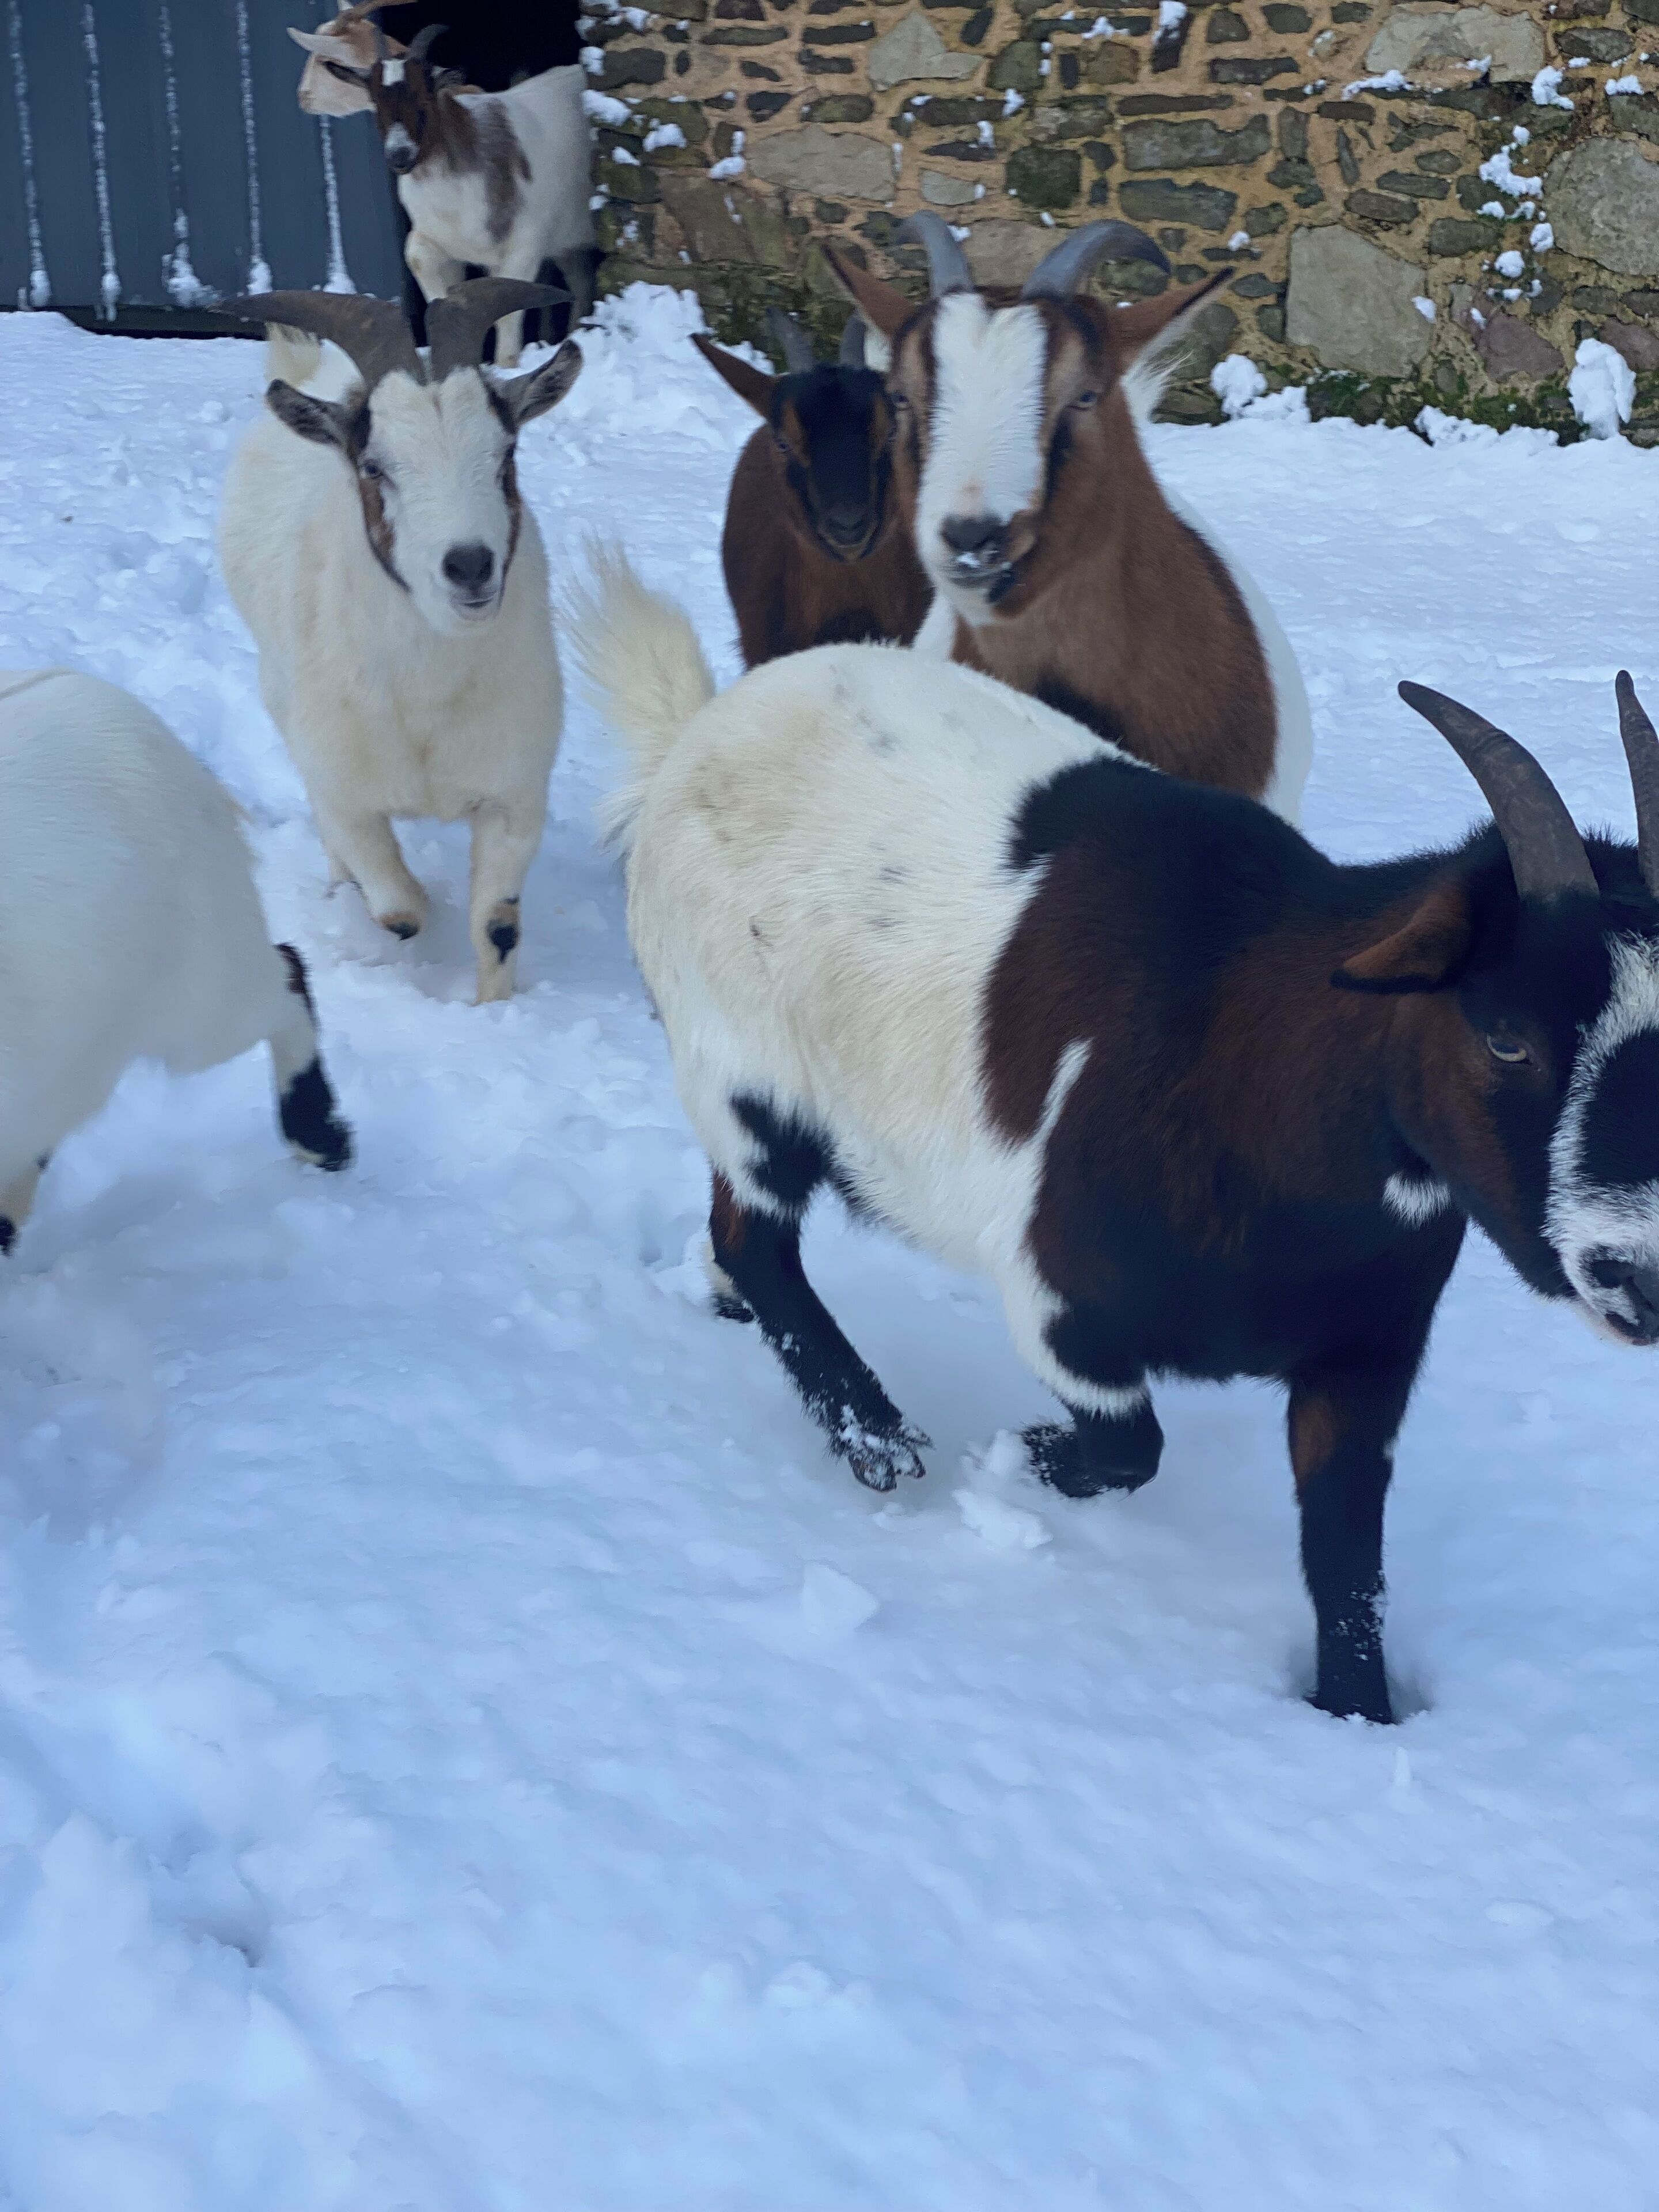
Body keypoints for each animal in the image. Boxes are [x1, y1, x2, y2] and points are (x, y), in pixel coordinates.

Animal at [218, 280, 581, 1005]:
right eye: (374, 465)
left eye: (506, 453)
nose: (469, 566)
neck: (426, 700)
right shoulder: (347, 795)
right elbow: (400, 910)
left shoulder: (515, 795)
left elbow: (498, 928)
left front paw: (491, 1010)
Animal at [294, 14, 598, 364]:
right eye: (376, 100)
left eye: (425, 96)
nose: (400, 155)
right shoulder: (440, 243)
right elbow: (420, 263)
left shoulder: (524, 247)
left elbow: (509, 312)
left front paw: (505, 364)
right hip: (568, 244)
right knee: (581, 281)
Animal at [576, 551, 1659, 1726]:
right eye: (1506, 1036)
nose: (1638, 1275)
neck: (1247, 1058)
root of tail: (692, 732)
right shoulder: (1060, 1301)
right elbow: (1131, 1446)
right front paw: (1016, 1455)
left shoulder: (1363, 1356)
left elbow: (1345, 1557)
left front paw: (1356, 1716)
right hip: (745, 1074)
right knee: (759, 1238)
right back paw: (874, 1435)